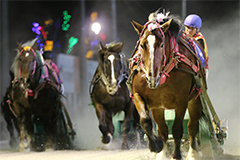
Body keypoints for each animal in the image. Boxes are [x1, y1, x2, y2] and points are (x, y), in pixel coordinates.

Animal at [127, 10, 206, 159]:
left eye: (162, 45)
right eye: (142, 45)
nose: (152, 77)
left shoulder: (182, 100)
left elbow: (177, 129)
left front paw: (177, 155)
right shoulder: (138, 95)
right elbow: (145, 121)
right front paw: (156, 146)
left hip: (196, 98)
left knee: (192, 127)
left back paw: (192, 153)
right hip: (158, 106)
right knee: (162, 128)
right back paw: (163, 152)